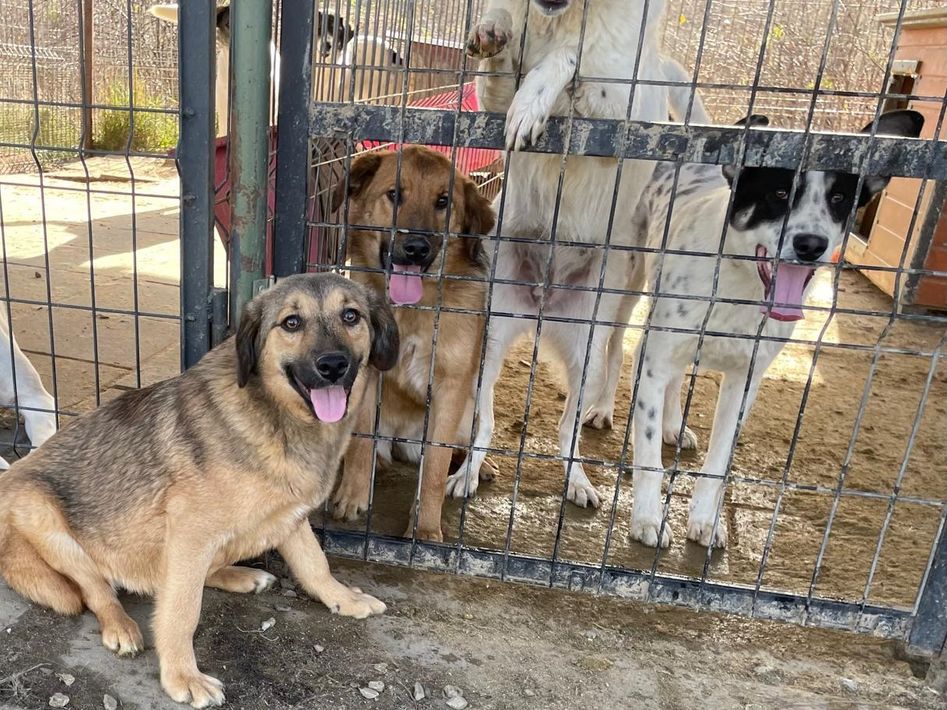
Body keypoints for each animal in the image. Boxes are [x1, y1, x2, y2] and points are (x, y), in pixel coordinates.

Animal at [329, 147, 496, 541]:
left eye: (443, 201)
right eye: (394, 194)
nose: (416, 248)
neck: (412, 309)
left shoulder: (451, 388)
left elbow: (435, 465)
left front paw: (425, 529)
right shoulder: (365, 374)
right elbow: (360, 443)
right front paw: (353, 496)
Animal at [447, 0, 674, 508]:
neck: (559, 22)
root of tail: (542, 304)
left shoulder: (624, 113)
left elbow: (571, 58)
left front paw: (535, 98)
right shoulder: (491, 102)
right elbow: (500, 73)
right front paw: (494, 32)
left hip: (587, 353)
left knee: (569, 429)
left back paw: (579, 481)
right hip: (489, 343)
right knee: (485, 425)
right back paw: (469, 473)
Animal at [627, 109, 925, 549]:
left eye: (839, 200)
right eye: (780, 194)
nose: (810, 244)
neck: (741, 288)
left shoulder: (745, 382)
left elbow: (718, 464)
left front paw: (706, 520)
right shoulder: (656, 358)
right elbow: (648, 458)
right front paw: (648, 518)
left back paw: (673, 426)